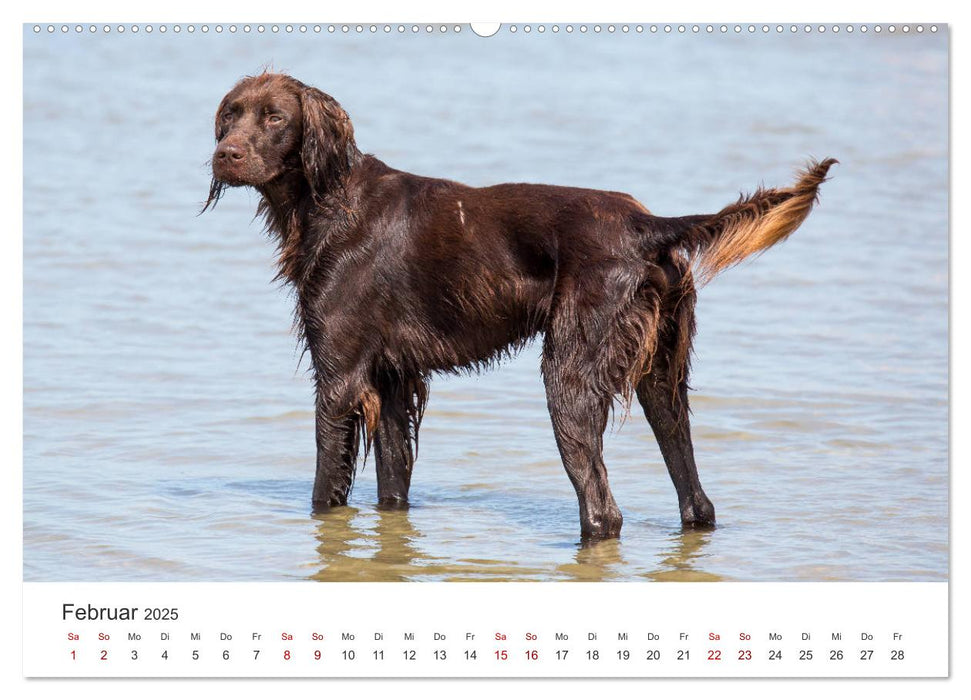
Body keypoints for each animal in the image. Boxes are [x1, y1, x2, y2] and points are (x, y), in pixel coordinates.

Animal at [203, 72, 836, 540]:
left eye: (276, 117)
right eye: (230, 114)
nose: (224, 154)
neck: (328, 199)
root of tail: (648, 225)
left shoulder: (339, 379)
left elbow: (323, 491)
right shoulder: (392, 379)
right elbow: (393, 487)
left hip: (569, 374)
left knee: (602, 513)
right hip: (662, 379)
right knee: (695, 501)